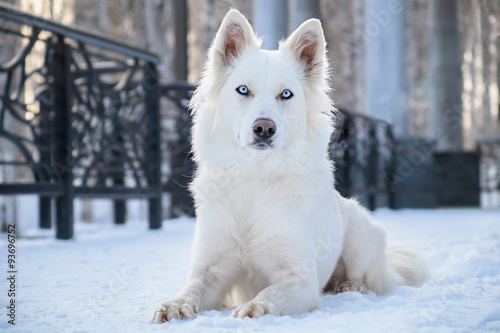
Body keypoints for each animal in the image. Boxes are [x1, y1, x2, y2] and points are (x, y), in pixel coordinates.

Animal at [153, 9, 430, 322]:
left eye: (286, 94)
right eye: (243, 90)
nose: (264, 128)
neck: (256, 176)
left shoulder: (301, 280)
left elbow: (273, 292)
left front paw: (256, 307)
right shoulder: (211, 268)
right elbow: (193, 287)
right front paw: (175, 304)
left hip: (360, 232)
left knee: (364, 276)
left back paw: (350, 286)